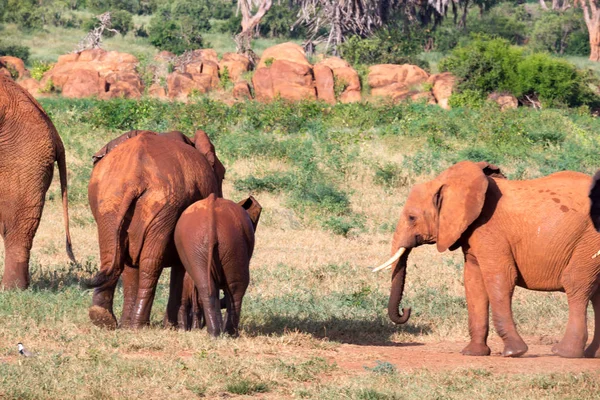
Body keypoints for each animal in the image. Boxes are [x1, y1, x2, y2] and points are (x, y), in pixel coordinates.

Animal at [85, 130, 224, 330]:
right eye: (222, 175)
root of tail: (134, 177)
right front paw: (175, 327)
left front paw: (126, 325)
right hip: (164, 203)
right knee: (150, 262)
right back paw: (138, 324)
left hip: (111, 198)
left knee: (115, 256)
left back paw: (105, 318)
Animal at [172, 192, 258, 336]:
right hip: (226, 242)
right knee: (235, 286)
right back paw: (225, 333)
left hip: (218, 243)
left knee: (218, 287)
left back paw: (219, 333)